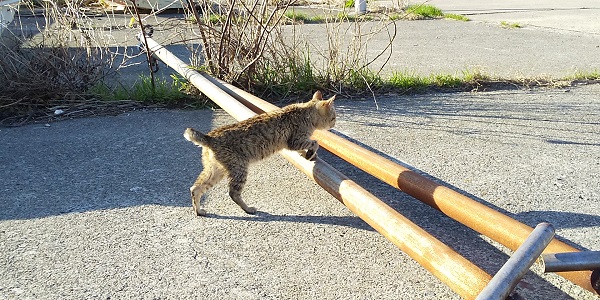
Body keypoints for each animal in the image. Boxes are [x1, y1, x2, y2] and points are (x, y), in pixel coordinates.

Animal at [184, 91, 332, 216]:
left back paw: (199, 211)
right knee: (233, 193)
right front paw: (310, 152)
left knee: (195, 188)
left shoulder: (293, 143)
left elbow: (305, 147)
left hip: (215, 170)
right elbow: (314, 143)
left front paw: (308, 154)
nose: (334, 123)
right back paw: (248, 209)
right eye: (333, 117)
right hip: (239, 168)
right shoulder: (295, 141)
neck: (305, 113)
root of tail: (209, 137)